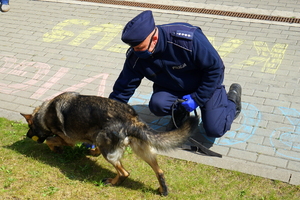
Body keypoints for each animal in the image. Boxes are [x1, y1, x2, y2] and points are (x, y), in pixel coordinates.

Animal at [21, 92, 199, 195]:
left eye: (30, 127)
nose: (27, 136)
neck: (44, 113)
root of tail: (131, 119)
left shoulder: (68, 139)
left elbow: (50, 139)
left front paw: (56, 149)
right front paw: (92, 152)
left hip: (109, 150)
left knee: (124, 172)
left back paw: (112, 182)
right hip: (142, 151)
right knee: (159, 171)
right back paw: (163, 190)